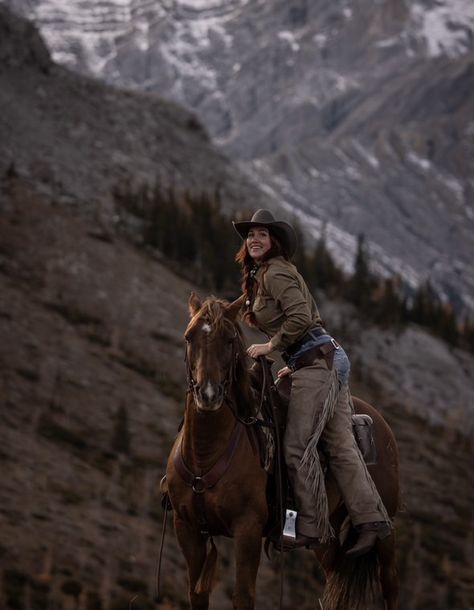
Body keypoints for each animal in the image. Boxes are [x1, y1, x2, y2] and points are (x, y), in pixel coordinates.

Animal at [167, 292, 400, 604]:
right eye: (189, 337)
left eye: (229, 339)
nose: (209, 394)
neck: (205, 455)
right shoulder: (187, 529)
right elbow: (196, 595)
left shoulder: (248, 530)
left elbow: (243, 596)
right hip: (327, 534)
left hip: (387, 533)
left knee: (391, 585)